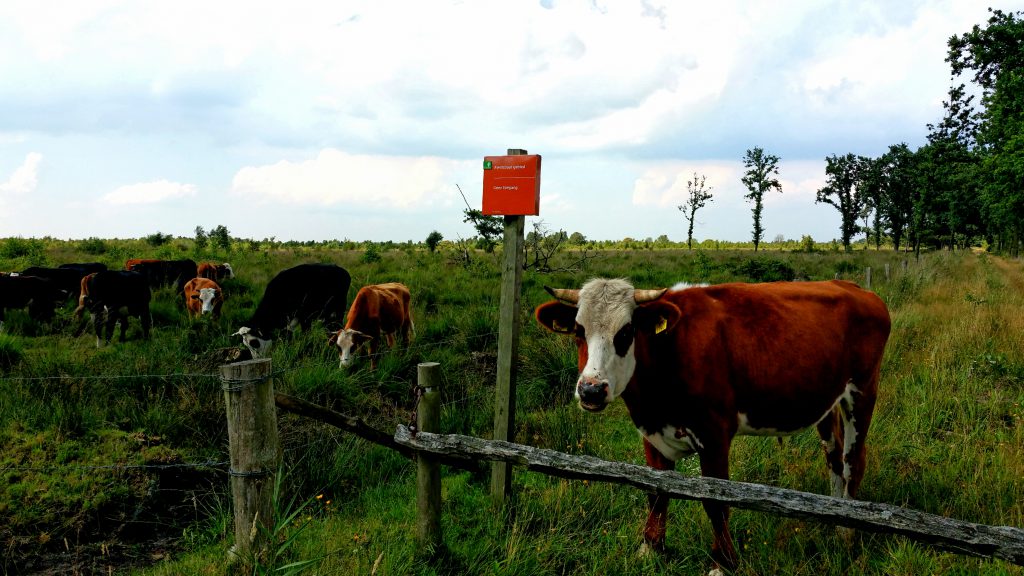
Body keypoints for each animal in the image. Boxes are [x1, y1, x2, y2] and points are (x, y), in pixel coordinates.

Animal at [532, 276, 892, 569]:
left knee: (852, 461)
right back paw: (834, 515)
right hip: (827, 401)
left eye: (626, 331)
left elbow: (716, 502)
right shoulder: (651, 434)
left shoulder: (714, 434)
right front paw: (651, 548)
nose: (591, 389)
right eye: (579, 331)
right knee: (833, 458)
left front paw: (723, 562)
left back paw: (846, 532)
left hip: (862, 390)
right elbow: (656, 492)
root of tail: (854, 287)